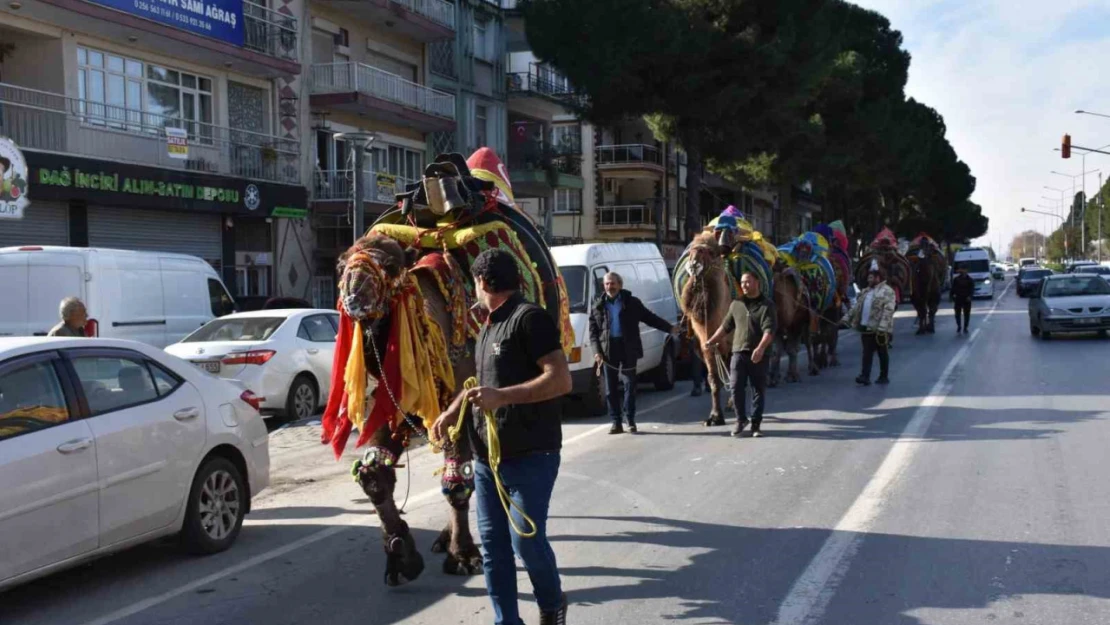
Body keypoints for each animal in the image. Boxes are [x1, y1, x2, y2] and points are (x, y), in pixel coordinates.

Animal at [319, 148, 572, 590]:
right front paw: (401, 555)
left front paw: (464, 555)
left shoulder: (460, 394)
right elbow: (375, 474)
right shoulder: (390, 398)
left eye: (389, 264)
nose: (354, 292)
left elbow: (458, 478)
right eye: (340, 264)